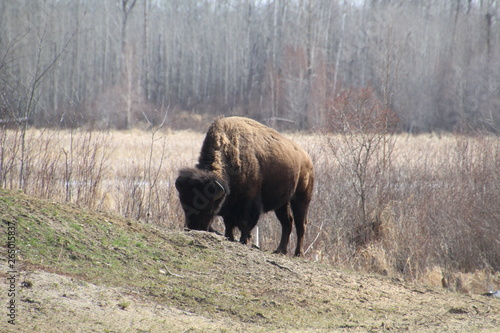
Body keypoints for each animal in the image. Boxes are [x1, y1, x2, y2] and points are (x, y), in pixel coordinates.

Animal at [176, 115, 314, 255]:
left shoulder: (249, 202)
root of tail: (307, 158)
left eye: (210, 207)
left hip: (301, 198)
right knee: (287, 222)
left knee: (301, 224)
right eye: (184, 205)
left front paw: (244, 240)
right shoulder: (230, 204)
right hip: (282, 204)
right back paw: (280, 250)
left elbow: (244, 223)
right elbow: (229, 223)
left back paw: (298, 253)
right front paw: (230, 237)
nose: (195, 227)